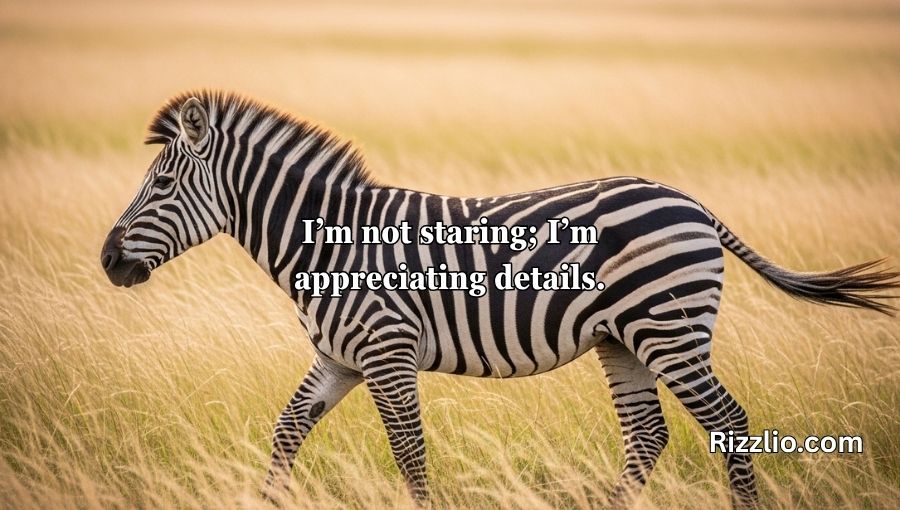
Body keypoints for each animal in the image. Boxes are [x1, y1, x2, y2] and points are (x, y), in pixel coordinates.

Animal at [100, 90, 898, 508]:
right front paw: (264, 500)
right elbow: (288, 430)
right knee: (646, 435)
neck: (330, 244)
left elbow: (409, 451)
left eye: (162, 185)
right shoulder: (341, 357)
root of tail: (691, 201)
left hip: (668, 328)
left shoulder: (386, 353)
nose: (107, 262)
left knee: (727, 422)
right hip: (623, 339)